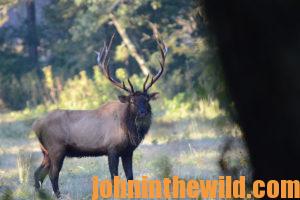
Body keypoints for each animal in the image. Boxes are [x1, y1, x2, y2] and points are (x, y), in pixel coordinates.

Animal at [34, 33, 168, 198]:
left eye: (147, 99)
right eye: (132, 101)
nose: (143, 112)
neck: (128, 129)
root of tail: (35, 126)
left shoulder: (128, 151)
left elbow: (130, 176)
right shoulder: (112, 148)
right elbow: (114, 176)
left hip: (45, 151)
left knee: (38, 174)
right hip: (56, 148)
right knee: (53, 175)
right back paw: (58, 196)